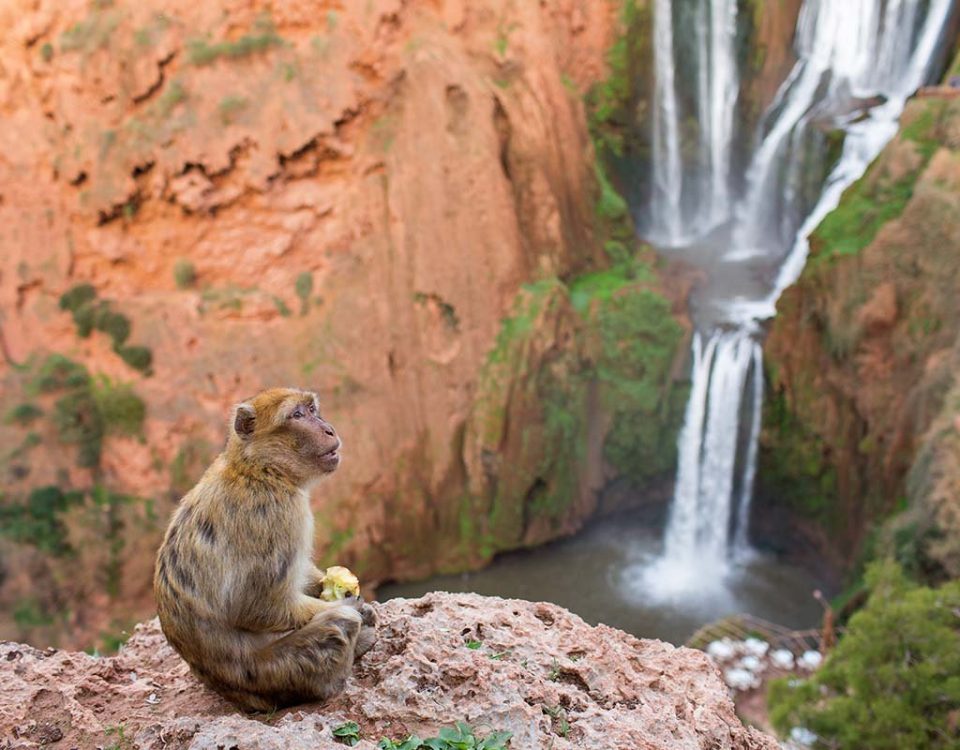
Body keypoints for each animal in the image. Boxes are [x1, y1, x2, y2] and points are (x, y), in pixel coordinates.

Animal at [154, 390, 376, 712]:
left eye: (312, 409)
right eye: (297, 415)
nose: (329, 429)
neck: (259, 469)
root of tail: (233, 694)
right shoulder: (278, 513)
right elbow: (257, 606)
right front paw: (351, 605)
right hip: (276, 673)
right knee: (339, 626)